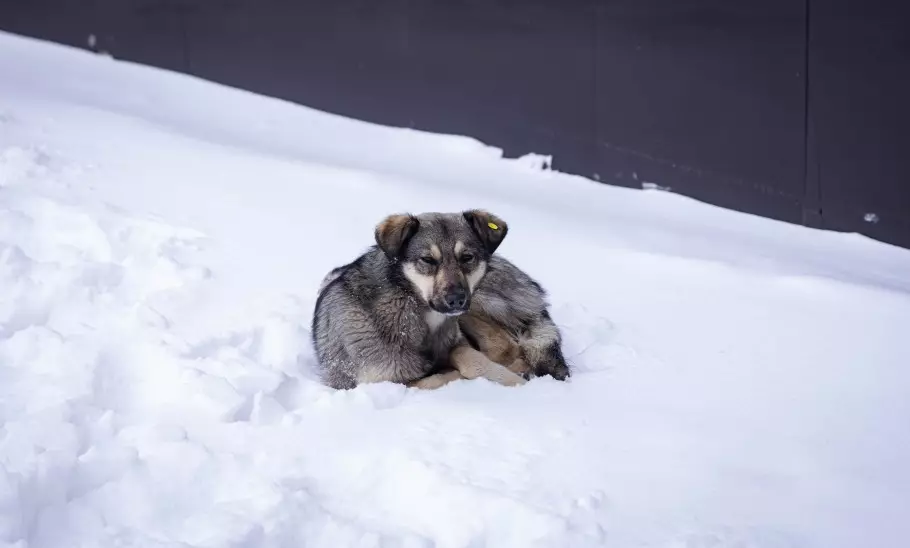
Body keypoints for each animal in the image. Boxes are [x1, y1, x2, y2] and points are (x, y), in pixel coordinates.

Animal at [314, 207, 568, 390]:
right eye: (427, 260)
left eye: (467, 257)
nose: (456, 299)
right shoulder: (383, 382)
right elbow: (434, 378)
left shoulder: (459, 341)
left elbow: (467, 358)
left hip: (479, 303)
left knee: (507, 346)